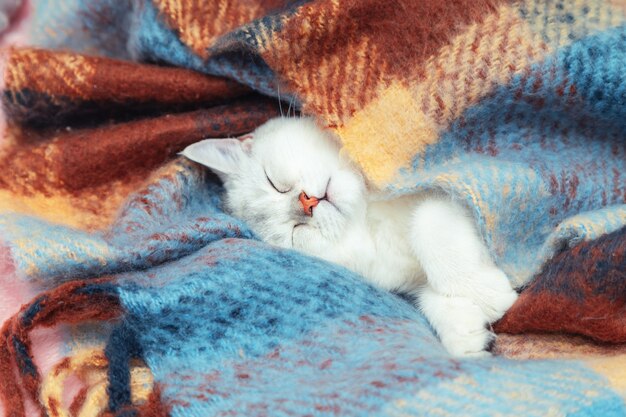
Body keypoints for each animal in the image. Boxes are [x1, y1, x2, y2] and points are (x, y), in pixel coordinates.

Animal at [180, 117, 516, 358]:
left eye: (273, 182)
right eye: (294, 233)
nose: (307, 203)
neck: (370, 220)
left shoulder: (445, 193)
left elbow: (427, 223)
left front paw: (484, 293)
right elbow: (428, 295)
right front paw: (467, 334)